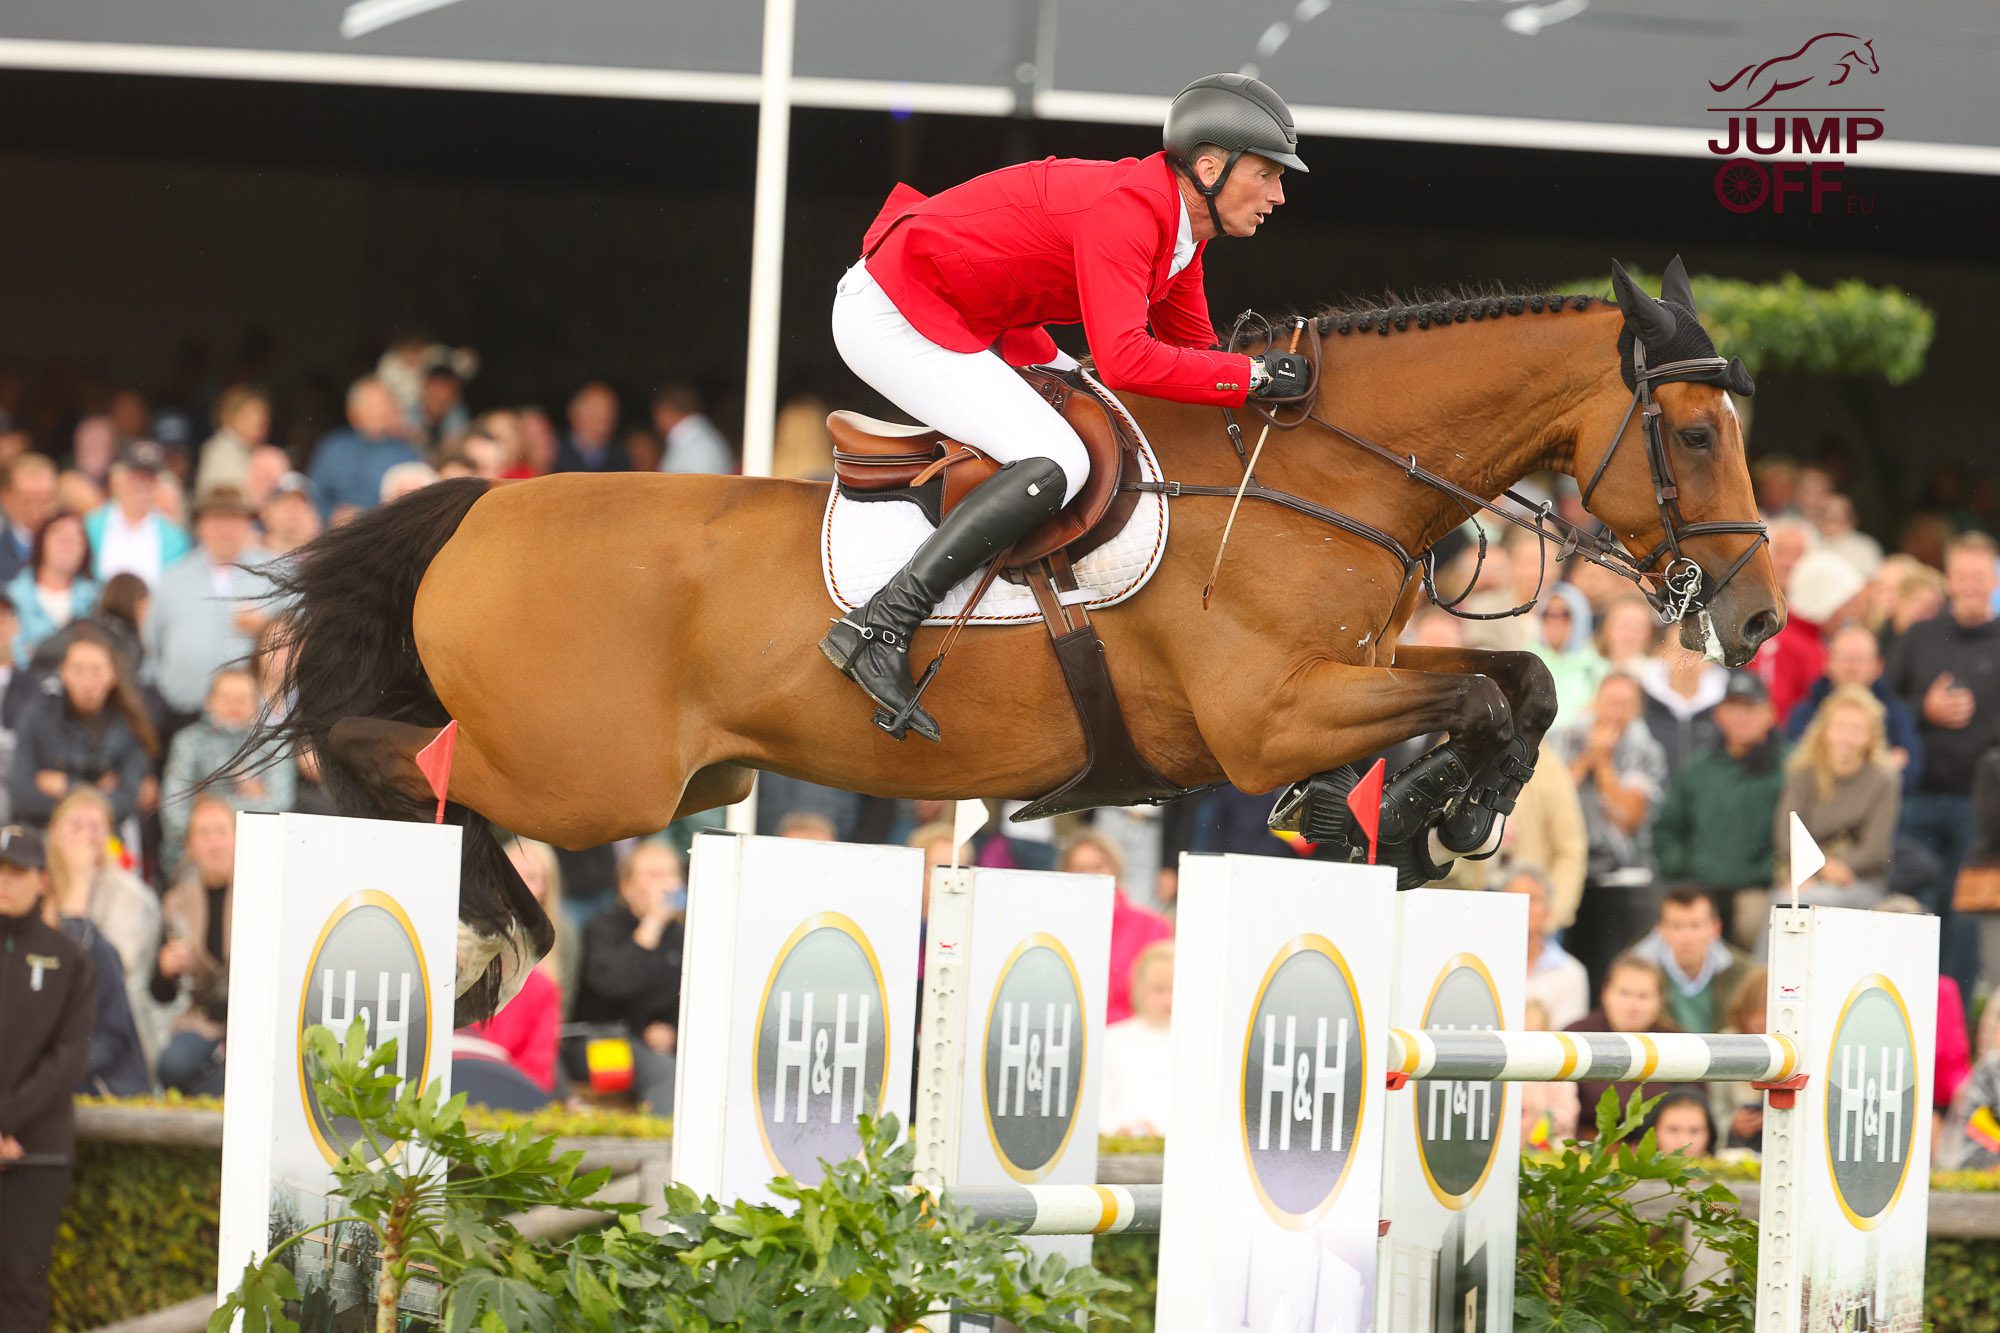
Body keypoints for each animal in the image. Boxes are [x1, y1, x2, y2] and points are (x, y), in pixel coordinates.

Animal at [258, 259, 1781, 1025]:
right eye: (1693, 431)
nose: (1759, 619)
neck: (1313, 470)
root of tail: (475, 508)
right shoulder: (1269, 715)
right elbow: (1478, 688)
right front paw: (1421, 811)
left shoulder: (1331, 688)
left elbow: (1507, 685)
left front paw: (1421, 814)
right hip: (590, 774)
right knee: (376, 748)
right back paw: (491, 935)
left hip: (663, 778)